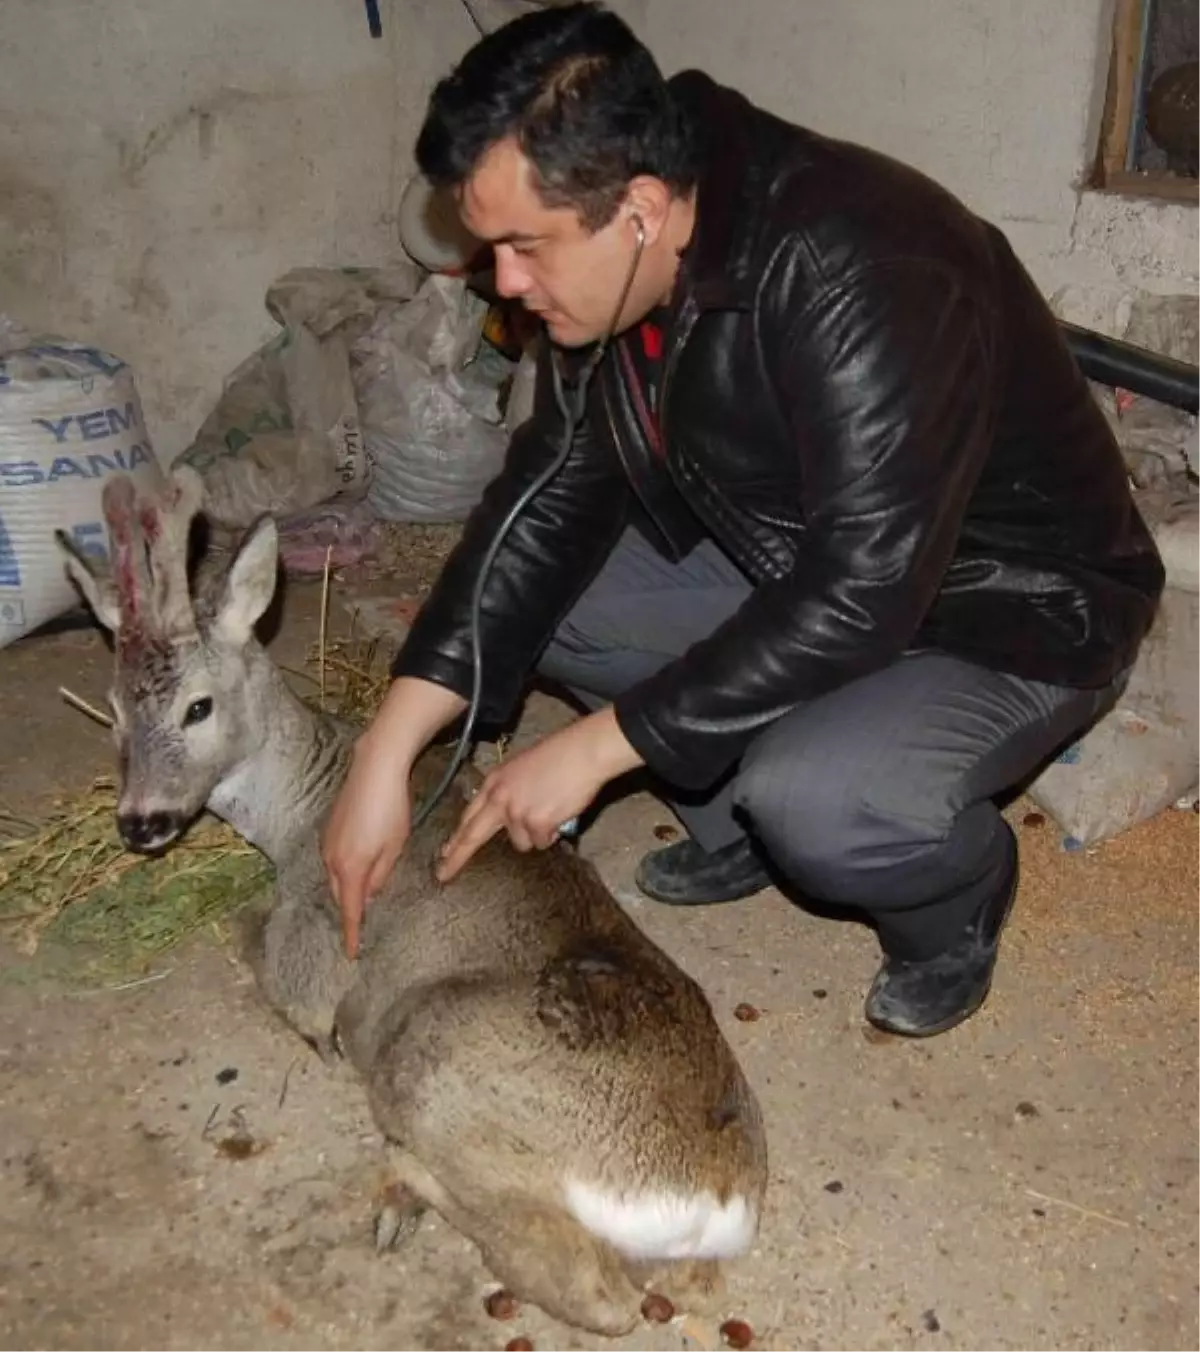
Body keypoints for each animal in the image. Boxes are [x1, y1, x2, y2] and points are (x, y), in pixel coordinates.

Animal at [56, 467, 767, 1341]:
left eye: (198, 706)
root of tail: (710, 1200)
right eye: (115, 708)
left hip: (428, 1062)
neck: (304, 805)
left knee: (592, 1295)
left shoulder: (311, 940)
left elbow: (266, 956)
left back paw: (402, 1186)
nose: (141, 821)